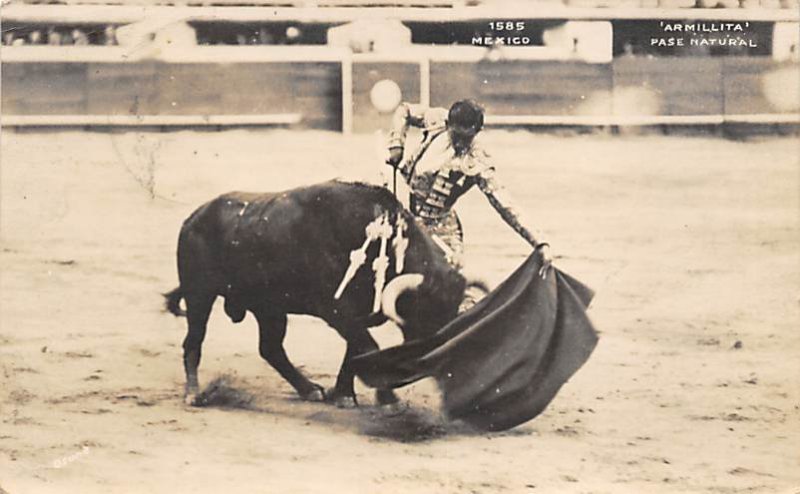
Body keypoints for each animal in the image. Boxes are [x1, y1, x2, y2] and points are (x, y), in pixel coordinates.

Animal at [163, 179, 468, 408]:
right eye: (423, 312)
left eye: (451, 312)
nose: (435, 363)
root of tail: (193, 218)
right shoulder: (336, 310)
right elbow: (368, 347)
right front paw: (386, 395)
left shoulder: (357, 315)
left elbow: (355, 352)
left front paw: (344, 395)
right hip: (199, 294)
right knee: (194, 341)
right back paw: (193, 394)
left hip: (269, 307)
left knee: (270, 348)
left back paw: (309, 389)